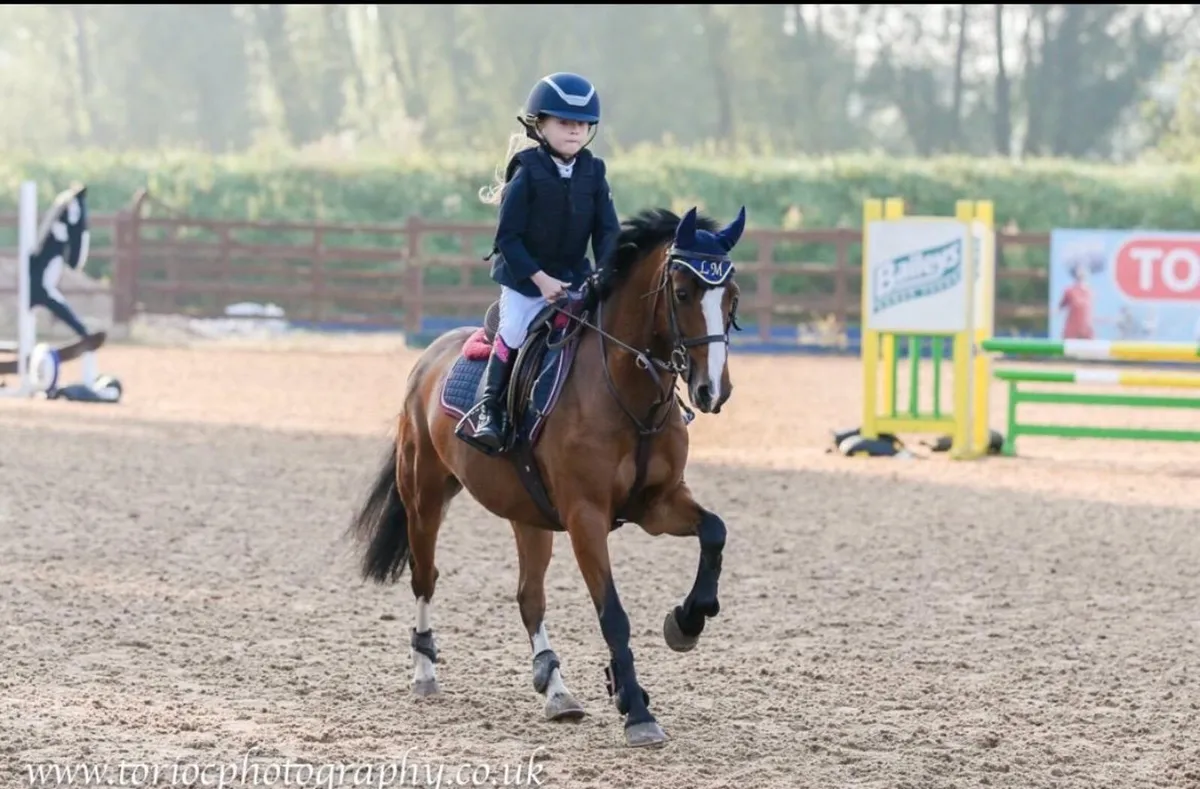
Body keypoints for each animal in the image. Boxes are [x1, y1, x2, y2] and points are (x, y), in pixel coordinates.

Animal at [348, 205, 746, 748]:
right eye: (682, 293)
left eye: (732, 296)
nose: (712, 391)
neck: (629, 393)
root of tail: (428, 358)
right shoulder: (586, 518)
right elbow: (613, 615)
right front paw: (637, 710)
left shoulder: (658, 503)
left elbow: (715, 532)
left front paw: (685, 623)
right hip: (424, 497)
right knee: (425, 576)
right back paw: (425, 671)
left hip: (529, 515)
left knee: (529, 598)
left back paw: (556, 688)